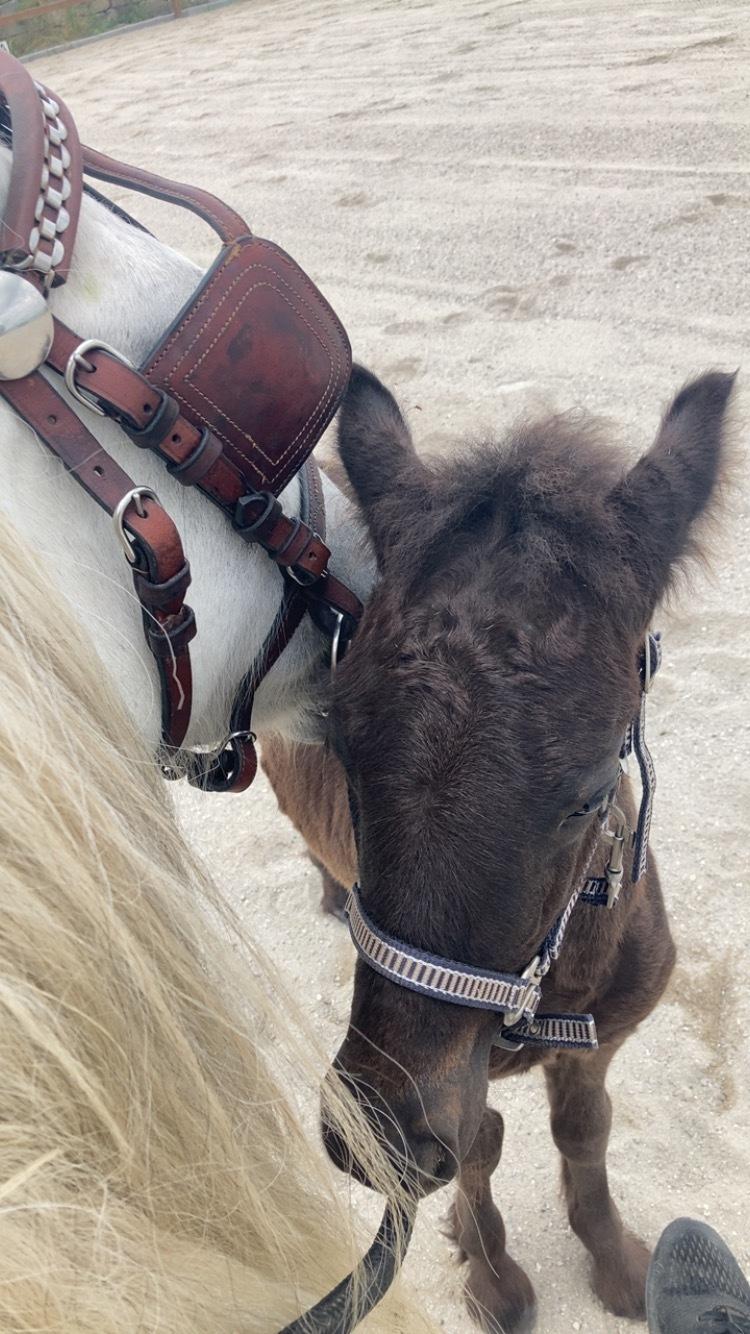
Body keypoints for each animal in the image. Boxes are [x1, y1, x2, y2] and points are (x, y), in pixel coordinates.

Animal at [260, 363, 737, 1332]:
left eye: (591, 792)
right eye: (341, 745)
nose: (379, 1137)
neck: (548, 993)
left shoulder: (596, 1043)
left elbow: (583, 1129)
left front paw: (621, 1266)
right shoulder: (455, 1079)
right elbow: (481, 1144)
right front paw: (493, 1277)